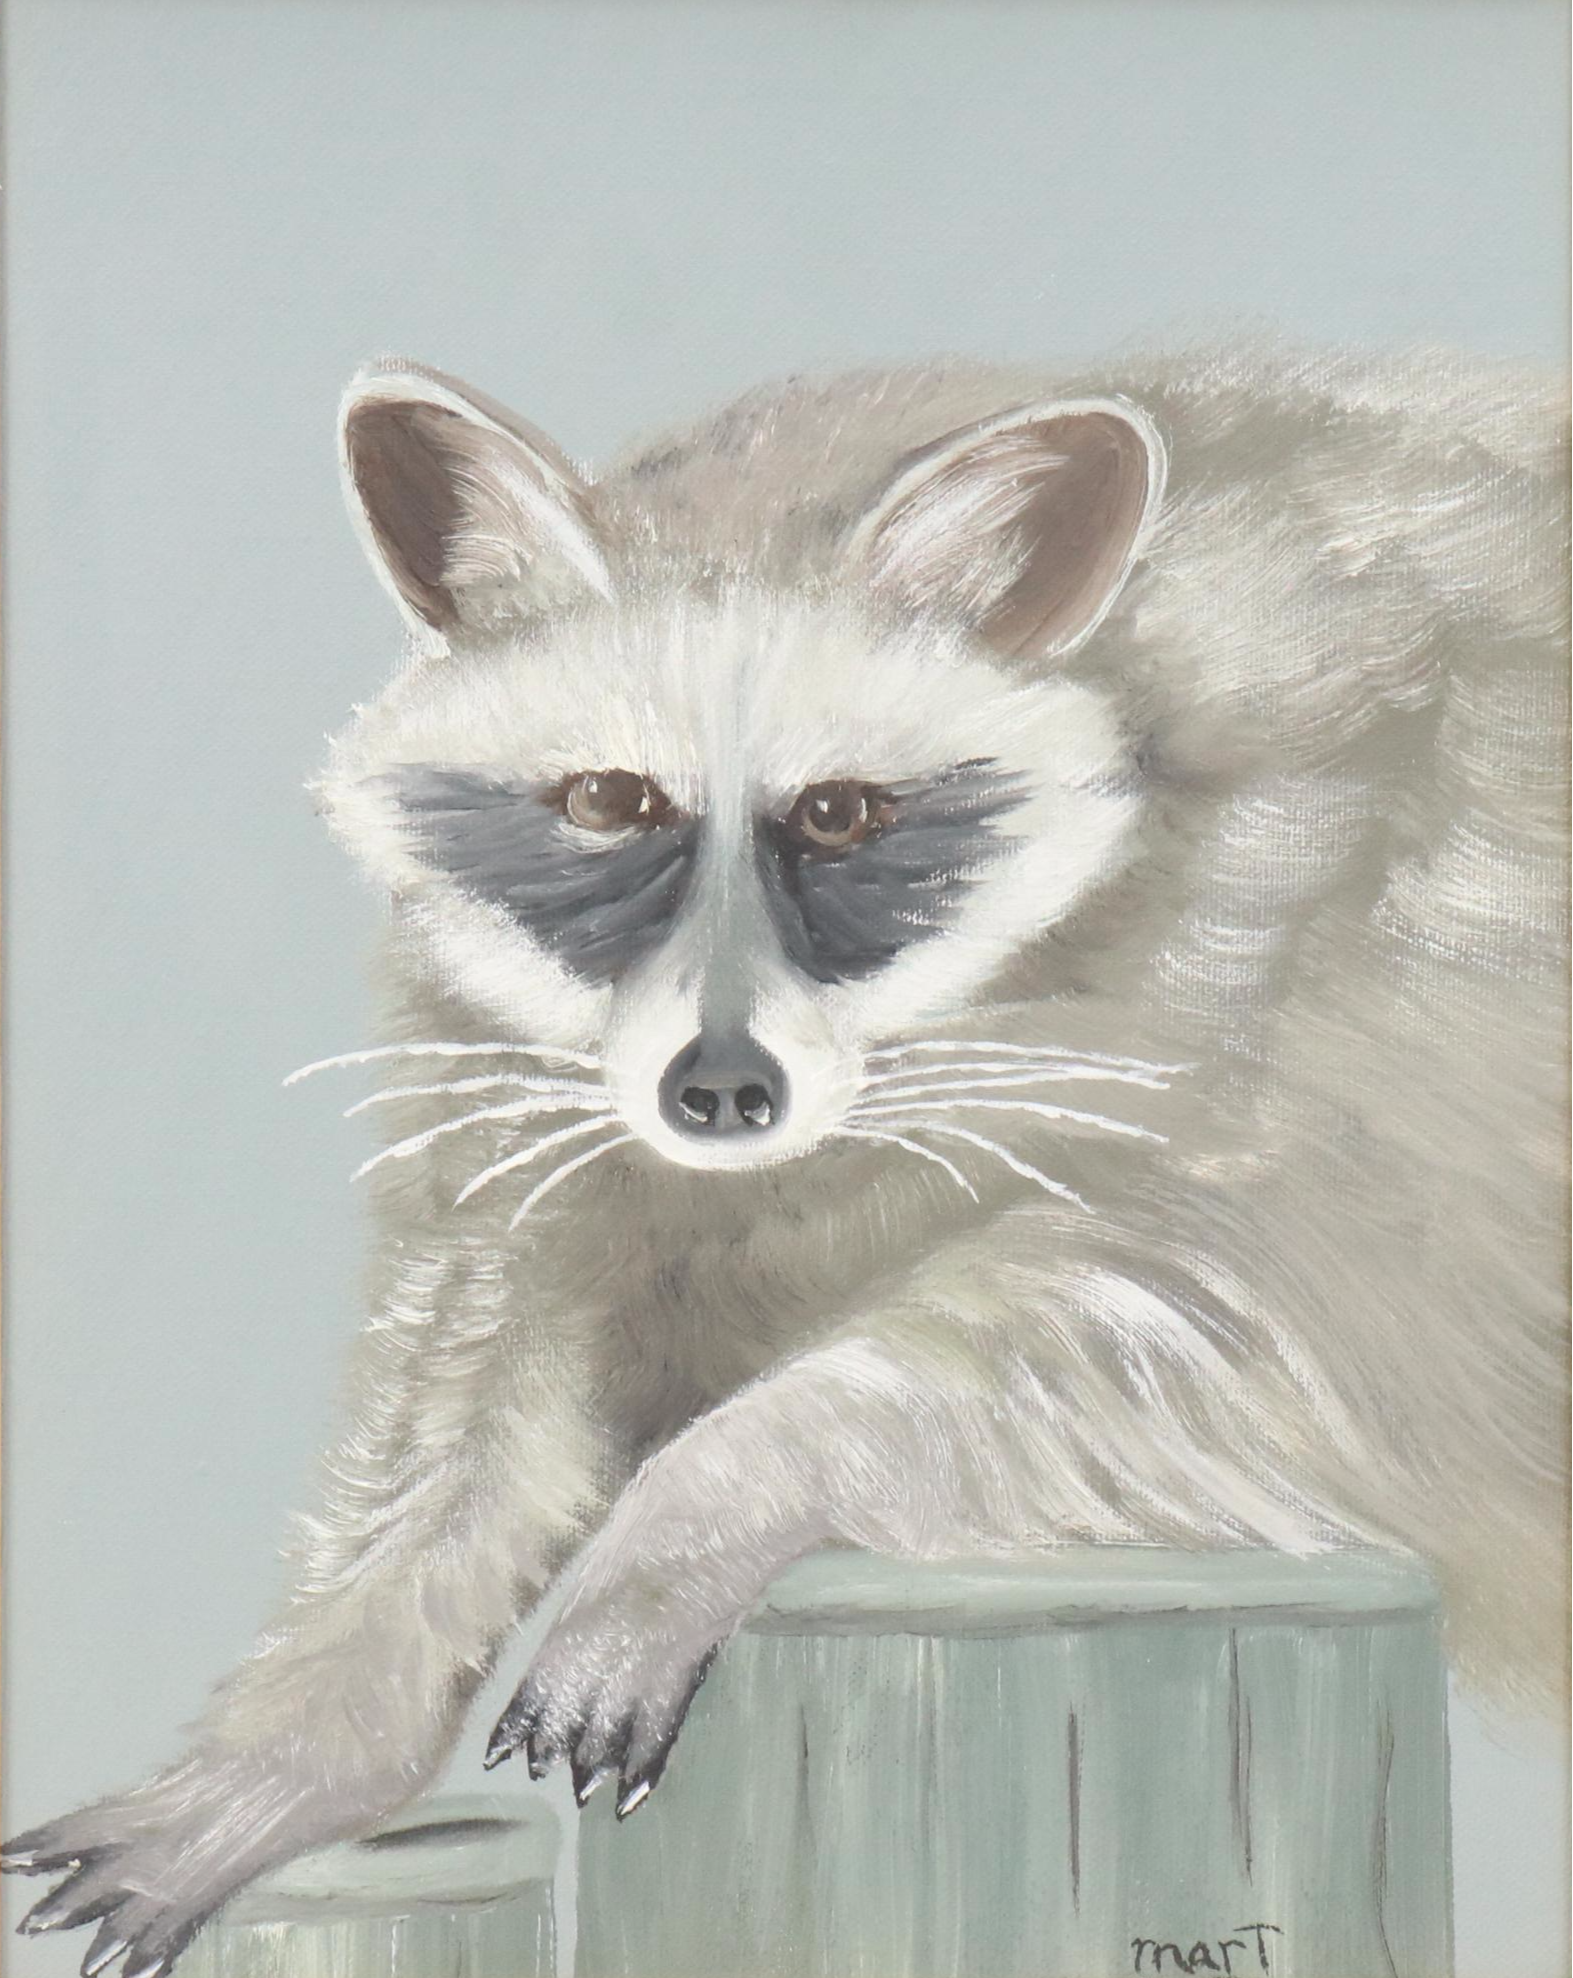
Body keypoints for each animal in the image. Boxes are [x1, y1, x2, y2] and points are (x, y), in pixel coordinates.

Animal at [6, 346, 1568, 1976]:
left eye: (840, 813)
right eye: (609, 801)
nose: (721, 1091)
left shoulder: (1338, 1005)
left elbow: (1202, 1309)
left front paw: (698, 1500)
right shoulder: (521, 1100)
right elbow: (466, 1409)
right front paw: (302, 1736)